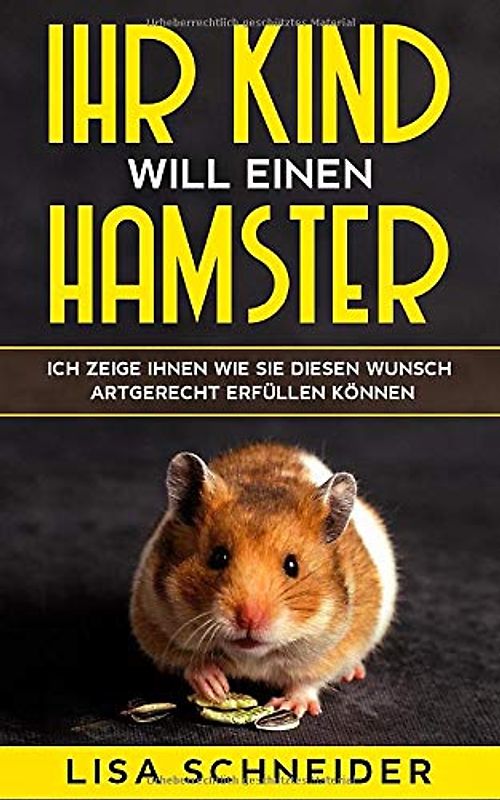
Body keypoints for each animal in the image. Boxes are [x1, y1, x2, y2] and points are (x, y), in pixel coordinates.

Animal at [130, 442, 397, 718]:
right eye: (218, 557)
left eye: (292, 565)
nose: (249, 619)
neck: (252, 656)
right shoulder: (152, 620)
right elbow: (188, 661)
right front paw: (215, 687)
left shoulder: (336, 647)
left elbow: (308, 681)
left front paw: (289, 706)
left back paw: (353, 672)